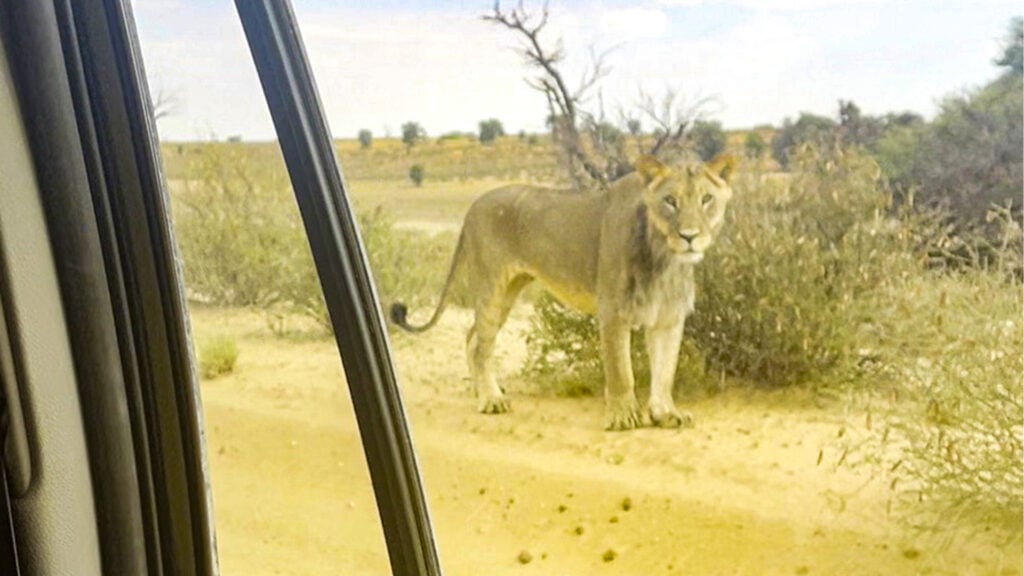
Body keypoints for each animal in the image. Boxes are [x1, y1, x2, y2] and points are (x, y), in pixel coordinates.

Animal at [390, 153, 735, 430]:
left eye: (706, 199)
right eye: (670, 201)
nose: (689, 236)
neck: (666, 259)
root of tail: (473, 205)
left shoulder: (669, 318)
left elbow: (665, 372)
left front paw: (666, 414)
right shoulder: (613, 312)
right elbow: (621, 371)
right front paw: (623, 418)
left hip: (509, 290)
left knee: (472, 336)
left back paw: (483, 392)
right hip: (492, 285)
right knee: (481, 346)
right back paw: (491, 400)